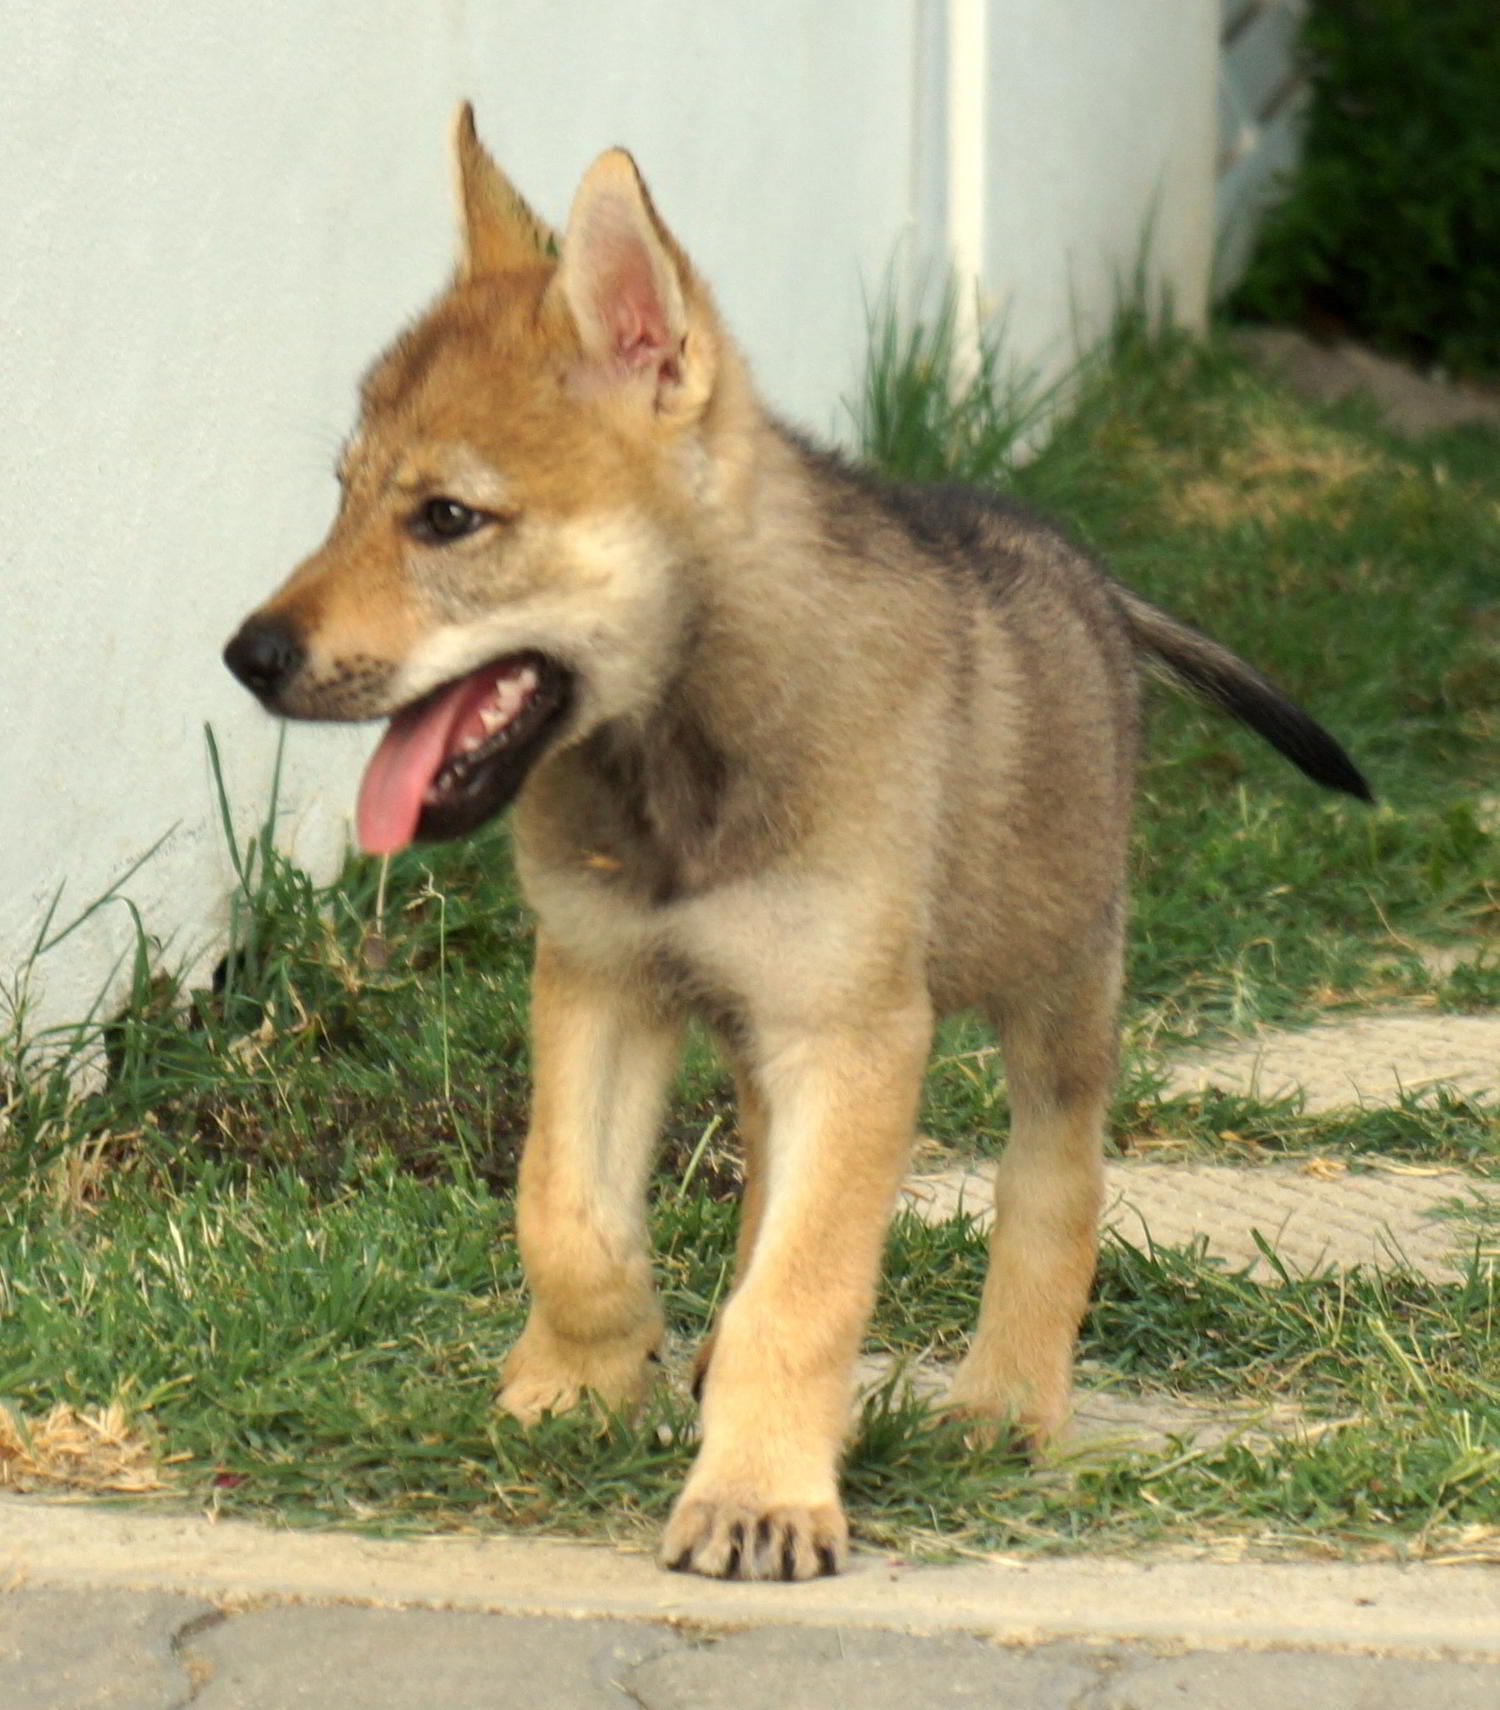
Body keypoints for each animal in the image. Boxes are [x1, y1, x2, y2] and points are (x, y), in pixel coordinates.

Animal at [224, 105, 1369, 1581]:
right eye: (344, 494)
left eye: (448, 519)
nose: (249, 657)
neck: (682, 762)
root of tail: (1098, 583)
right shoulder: (602, 983)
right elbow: (569, 1213)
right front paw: (581, 1378)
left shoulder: (858, 1038)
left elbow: (808, 1286)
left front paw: (761, 1492)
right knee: (766, 1176)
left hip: (1059, 988)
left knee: (1054, 1178)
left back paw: (1008, 1399)